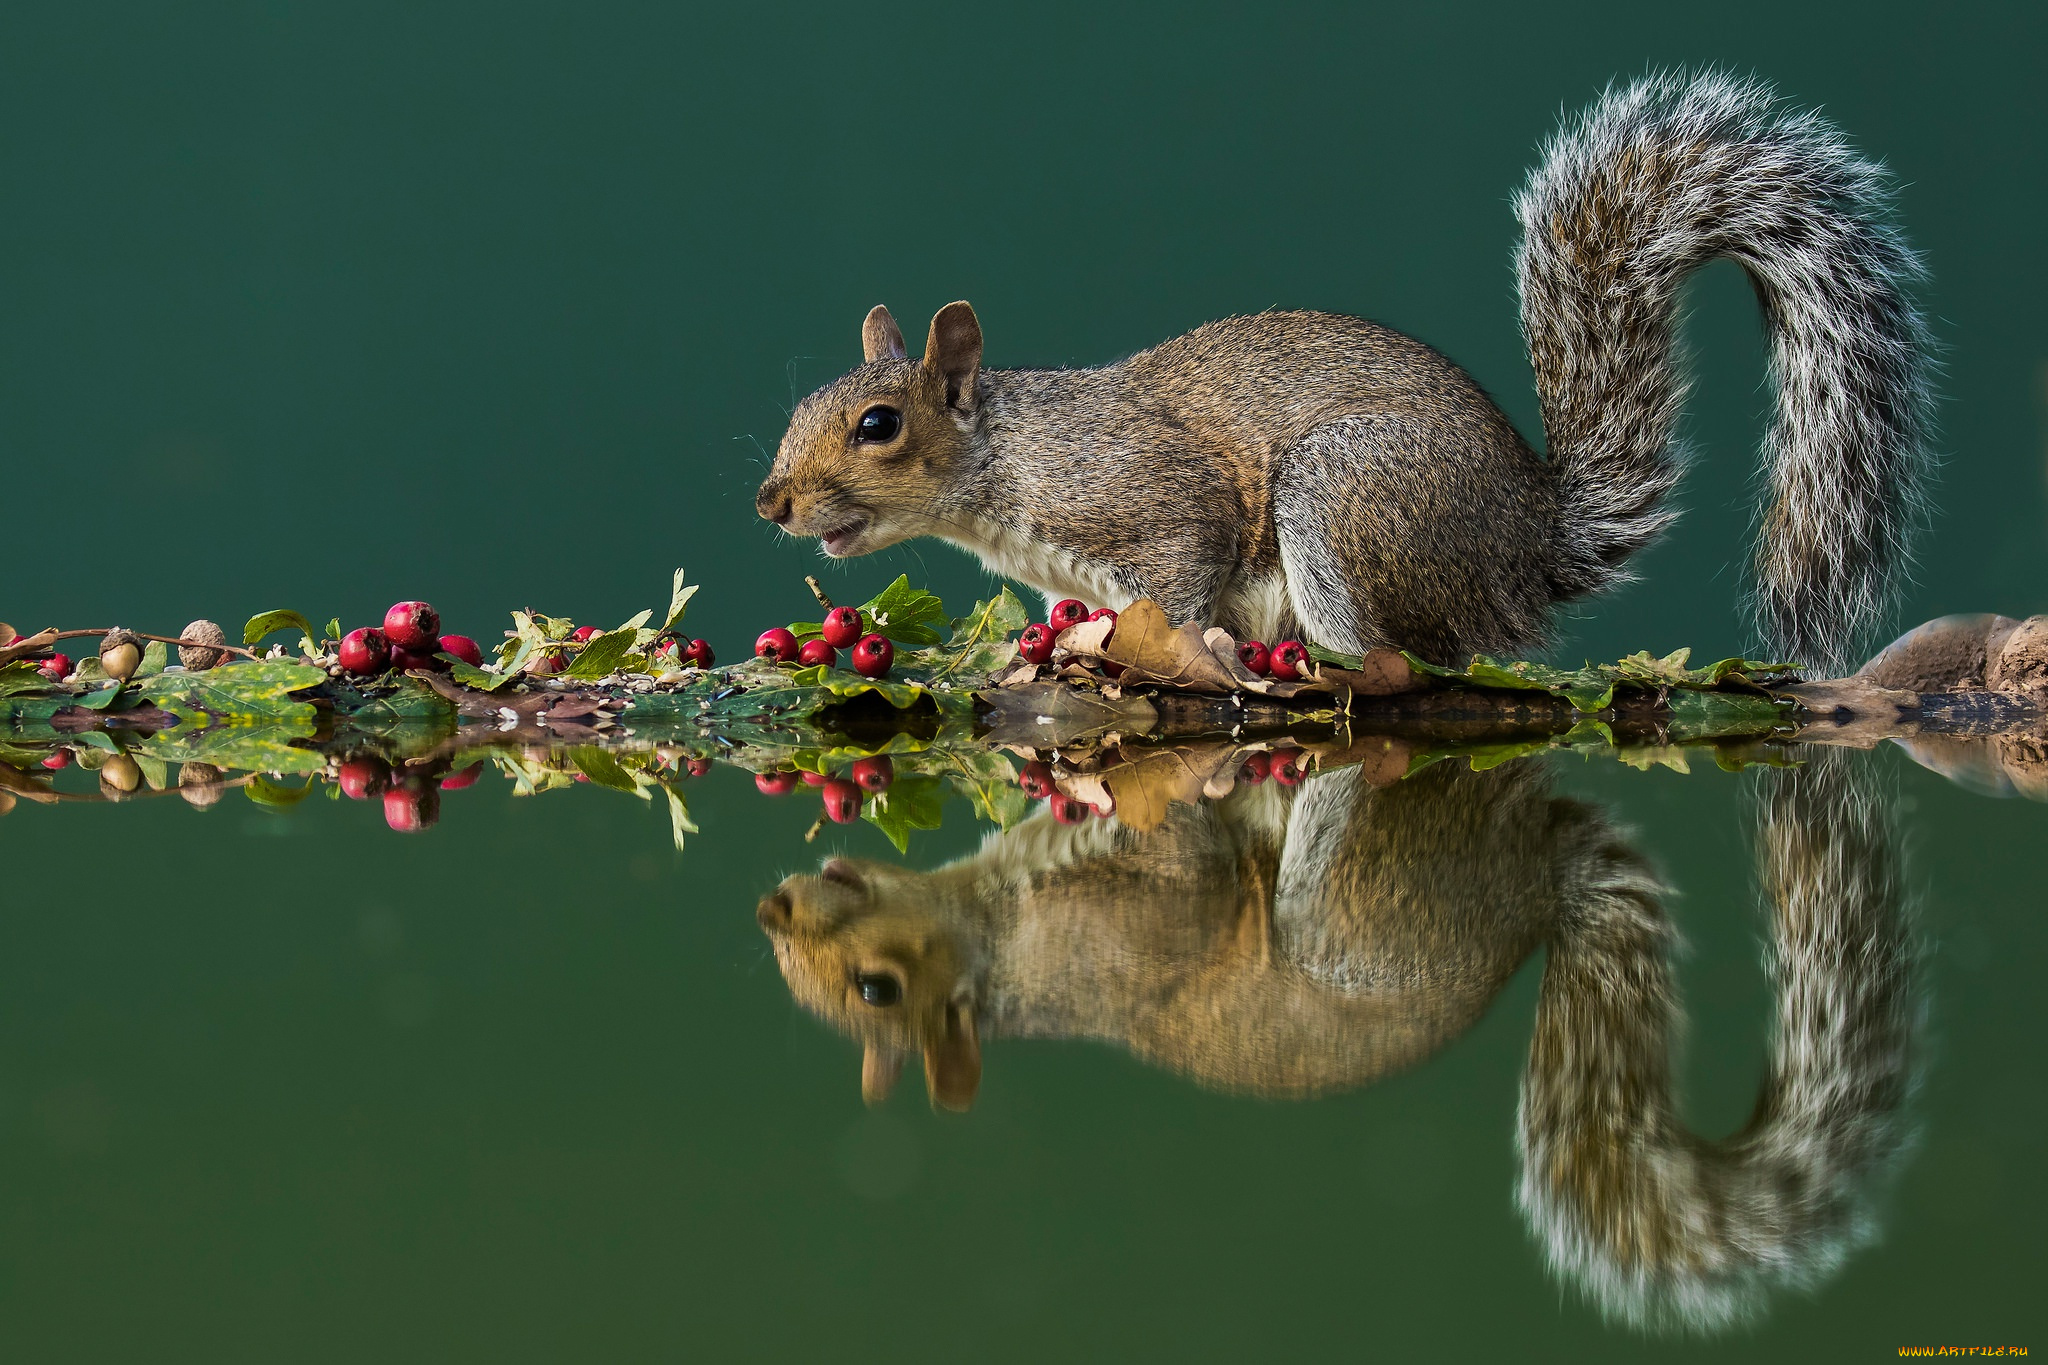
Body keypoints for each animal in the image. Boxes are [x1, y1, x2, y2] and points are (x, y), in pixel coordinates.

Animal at [757, 73, 1933, 671]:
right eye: (802, 405)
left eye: (876, 425)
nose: (771, 502)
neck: (1007, 462)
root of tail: (1528, 547)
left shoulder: (1147, 502)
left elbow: (1180, 569)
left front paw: (1133, 641)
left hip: (1347, 491)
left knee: (1385, 658)